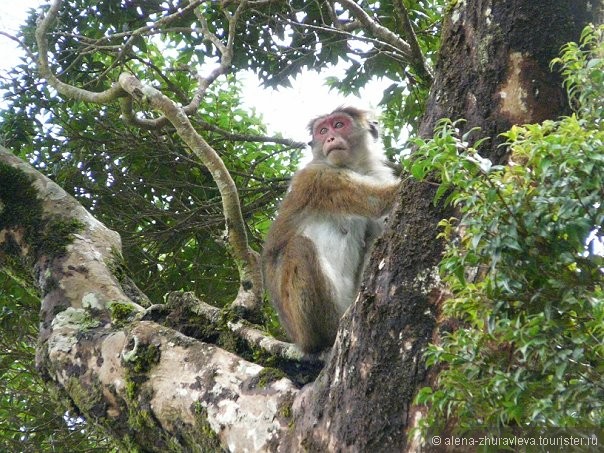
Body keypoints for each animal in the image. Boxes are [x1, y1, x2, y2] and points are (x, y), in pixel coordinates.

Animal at [260, 107, 398, 354]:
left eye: (339, 124)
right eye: (323, 131)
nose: (330, 138)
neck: (355, 166)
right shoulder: (320, 177)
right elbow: (383, 200)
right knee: (299, 247)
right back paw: (326, 337)